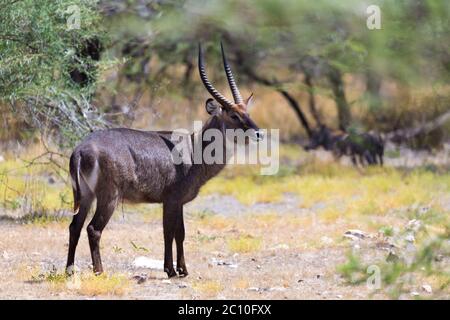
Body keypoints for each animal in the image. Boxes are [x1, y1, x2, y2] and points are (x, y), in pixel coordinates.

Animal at [67, 43, 264, 278]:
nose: (259, 133)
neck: (194, 149)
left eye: (247, 111)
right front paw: (171, 269)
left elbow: (180, 232)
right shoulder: (171, 200)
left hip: (86, 196)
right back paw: (100, 271)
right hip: (109, 197)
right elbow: (169, 232)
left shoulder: (178, 202)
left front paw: (182, 269)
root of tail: (81, 149)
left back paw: (69, 271)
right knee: (93, 229)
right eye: (234, 115)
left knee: (75, 226)